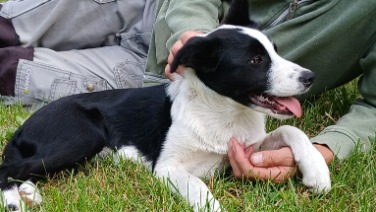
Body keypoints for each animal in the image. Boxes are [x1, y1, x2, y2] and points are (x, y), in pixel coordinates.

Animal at [0, 0, 328, 211]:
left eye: (275, 50)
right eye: (256, 60)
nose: (310, 77)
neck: (223, 113)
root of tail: (24, 126)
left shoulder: (251, 147)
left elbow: (290, 130)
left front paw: (317, 171)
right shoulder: (168, 168)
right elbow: (200, 188)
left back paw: (28, 192)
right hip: (83, 135)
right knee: (8, 166)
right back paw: (13, 200)